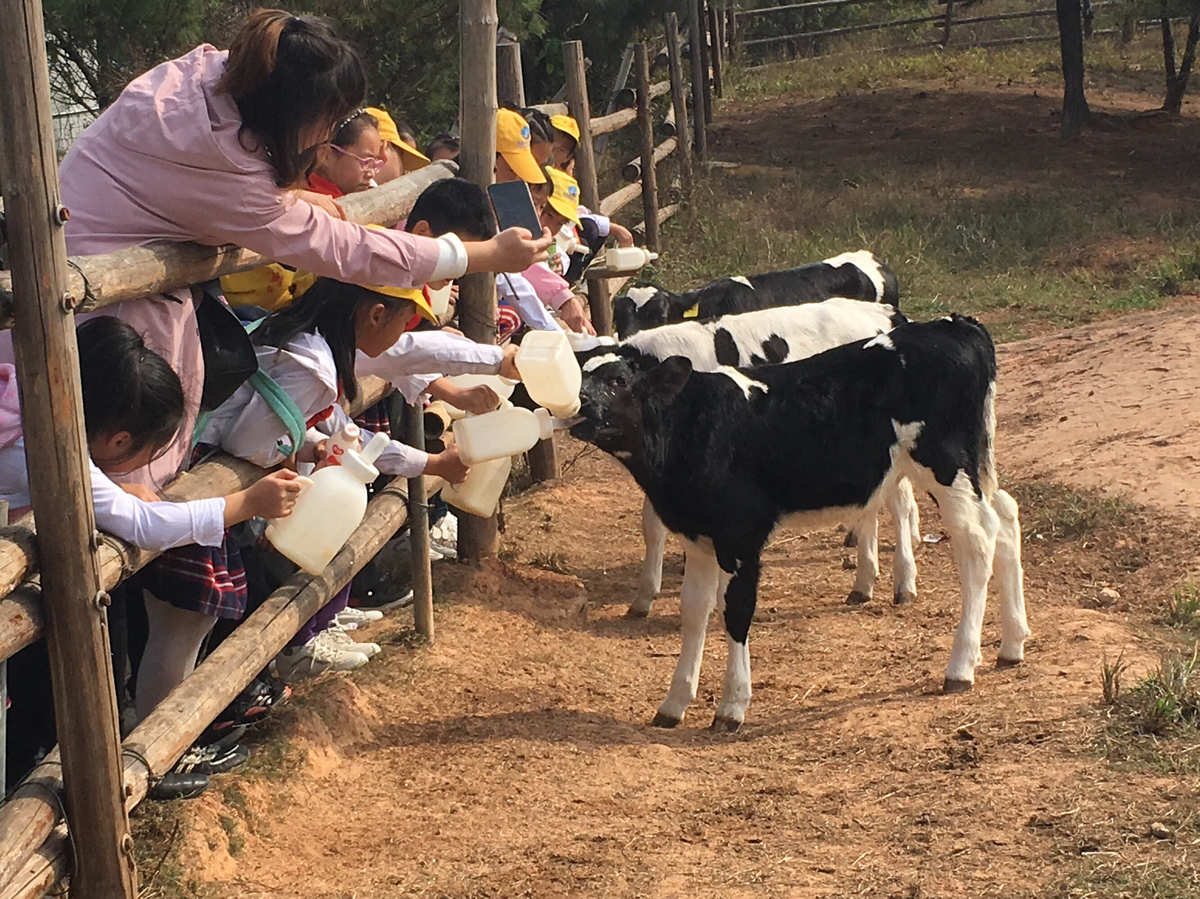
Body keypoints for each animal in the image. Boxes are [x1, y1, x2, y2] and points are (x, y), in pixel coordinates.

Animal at [580, 297, 916, 614]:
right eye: (581, 375)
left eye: (617, 381)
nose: (582, 405)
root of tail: (885, 312)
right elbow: (652, 526)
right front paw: (645, 595)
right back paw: (864, 581)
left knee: (899, 504)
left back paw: (904, 582)